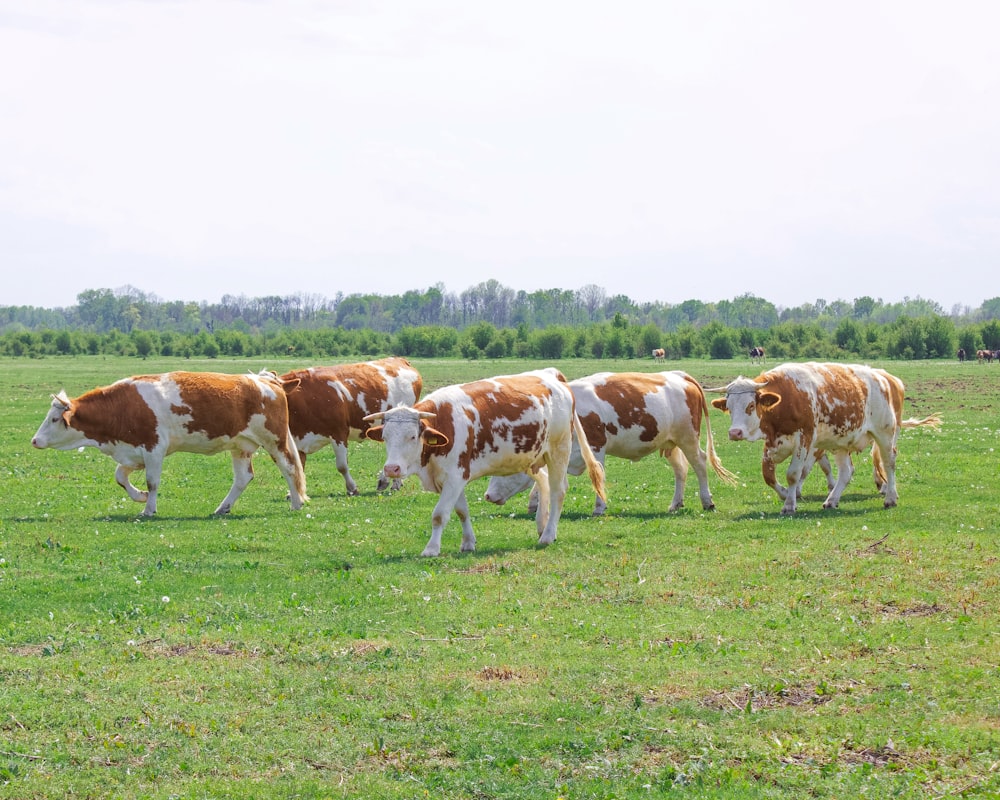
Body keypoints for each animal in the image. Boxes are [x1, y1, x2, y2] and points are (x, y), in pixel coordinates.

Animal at [31, 372, 306, 516]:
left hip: (274, 440)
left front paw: (148, 508)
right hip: (240, 447)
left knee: (290, 468)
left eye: (54, 419)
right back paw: (222, 508)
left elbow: (152, 482)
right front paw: (139, 497)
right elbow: (120, 476)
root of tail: (267, 381)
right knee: (243, 478)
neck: (122, 406)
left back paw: (296, 503)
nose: (35, 440)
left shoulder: (154, 448)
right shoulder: (132, 451)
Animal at [278, 356, 422, 494]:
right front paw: (293, 494)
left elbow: (342, 466)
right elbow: (298, 468)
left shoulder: (339, 433)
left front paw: (352, 488)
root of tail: (400, 360)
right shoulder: (298, 440)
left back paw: (393, 483)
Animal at [364, 368, 604, 556]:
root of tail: (552, 376)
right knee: (544, 482)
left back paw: (548, 534)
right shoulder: (454, 478)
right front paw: (468, 543)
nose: (391, 468)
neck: (444, 423)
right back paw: (541, 526)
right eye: (385, 436)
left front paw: (431, 549)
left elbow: (440, 515)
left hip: (558, 450)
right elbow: (462, 511)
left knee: (558, 491)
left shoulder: (454, 477)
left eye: (412, 436)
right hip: (532, 457)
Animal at [486, 372, 744, 516]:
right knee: (681, 470)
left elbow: (597, 475)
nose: (487, 496)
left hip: (688, 438)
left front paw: (599, 507)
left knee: (700, 464)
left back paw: (707, 501)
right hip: (670, 442)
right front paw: (535, 503)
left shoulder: (596, 449)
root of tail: (681, 377)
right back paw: (675, 504)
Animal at [708, 360, 940, 516]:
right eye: (729, 407)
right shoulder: (772, 443)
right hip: (841, 443)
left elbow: (794, 473)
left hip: (885, 433)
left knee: (888, 463)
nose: (734, 433)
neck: (786, 398)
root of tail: (884, 378)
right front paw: (785, 493)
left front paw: (789, 503)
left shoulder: (805, 440)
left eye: (750, 405)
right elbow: (768, 475)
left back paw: (890, 497)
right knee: (846, 472)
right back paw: (832, 500)